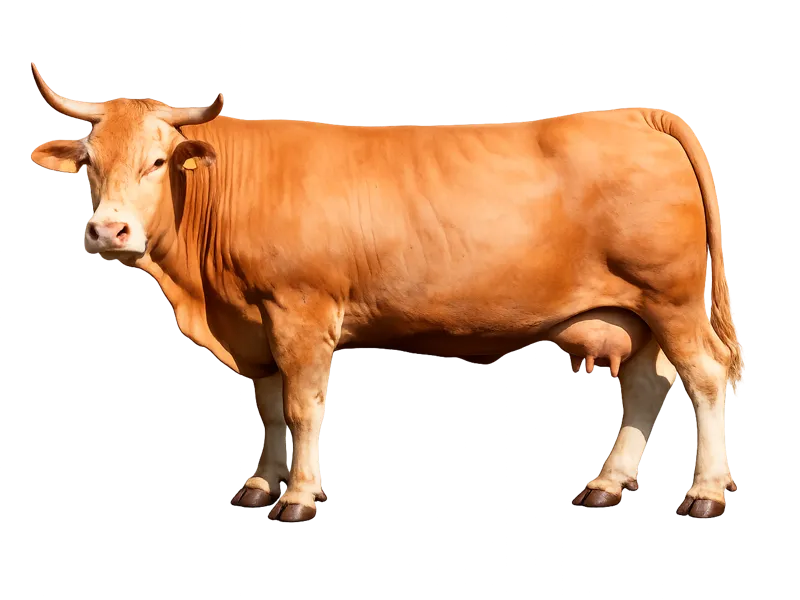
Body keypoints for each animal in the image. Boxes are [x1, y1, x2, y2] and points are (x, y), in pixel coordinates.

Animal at [29, 62, 744, 521]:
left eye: (157, 161)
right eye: (89, 162)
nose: (108, 230)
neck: (208, 296)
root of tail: (632, 116)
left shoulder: (301, 310)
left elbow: (302, 408)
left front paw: (297, 497)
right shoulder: (254, 323)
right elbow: (267, 407)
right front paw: (259, 485)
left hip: (672, 299)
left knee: (705, 376)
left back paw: (705, 492)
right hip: (638, 311)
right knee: (646, 384)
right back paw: (607, 484)